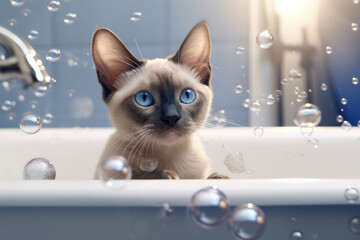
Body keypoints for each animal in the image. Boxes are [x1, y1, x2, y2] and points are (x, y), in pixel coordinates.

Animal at [90, 21, 225, 179]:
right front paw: (165, 175)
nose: (172, 117)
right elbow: (141, 177)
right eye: (144, 99)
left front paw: (218, 177)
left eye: (187, 96)